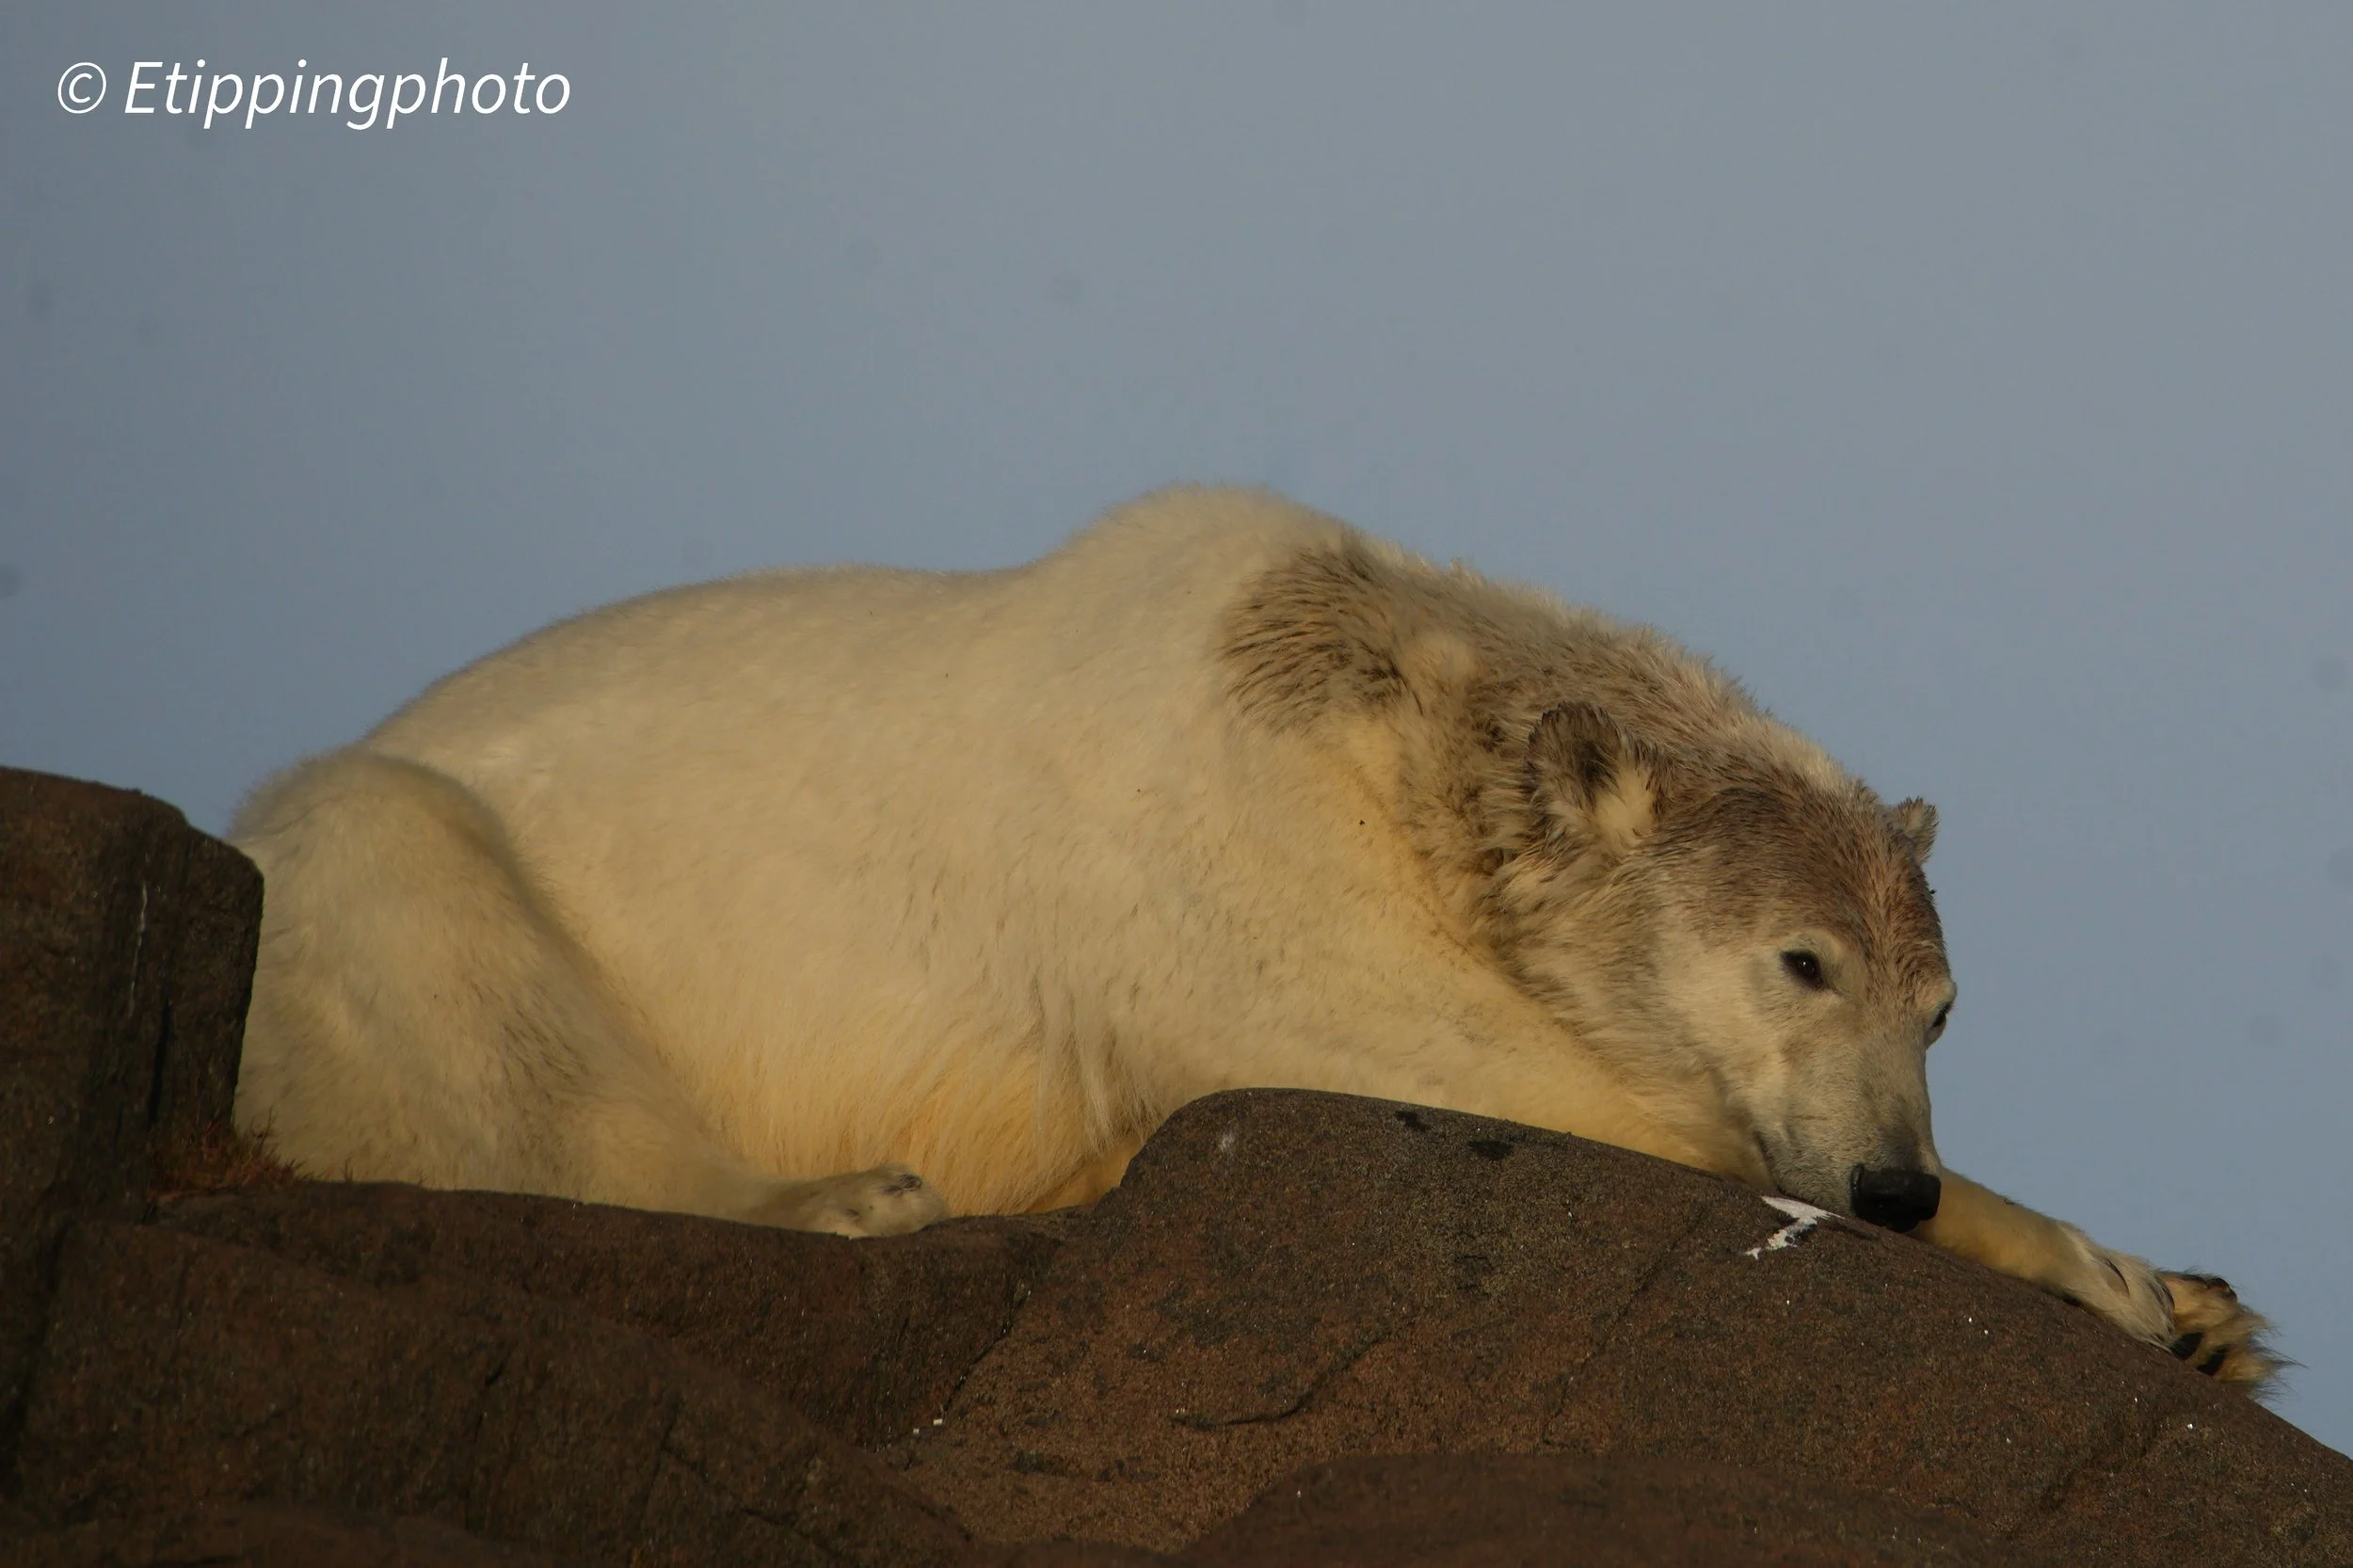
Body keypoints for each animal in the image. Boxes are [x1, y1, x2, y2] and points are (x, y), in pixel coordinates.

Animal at [229, 485, 2274, 1387]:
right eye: (1802, 960)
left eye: (1944, 1001)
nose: (1894, 1176)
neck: (1359, 682)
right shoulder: (1223, 861)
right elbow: (1500, 1084)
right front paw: (2117, 1275)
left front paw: (2200, 1305)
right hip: (345, 902)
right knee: (421, 892)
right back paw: (841, 1194)